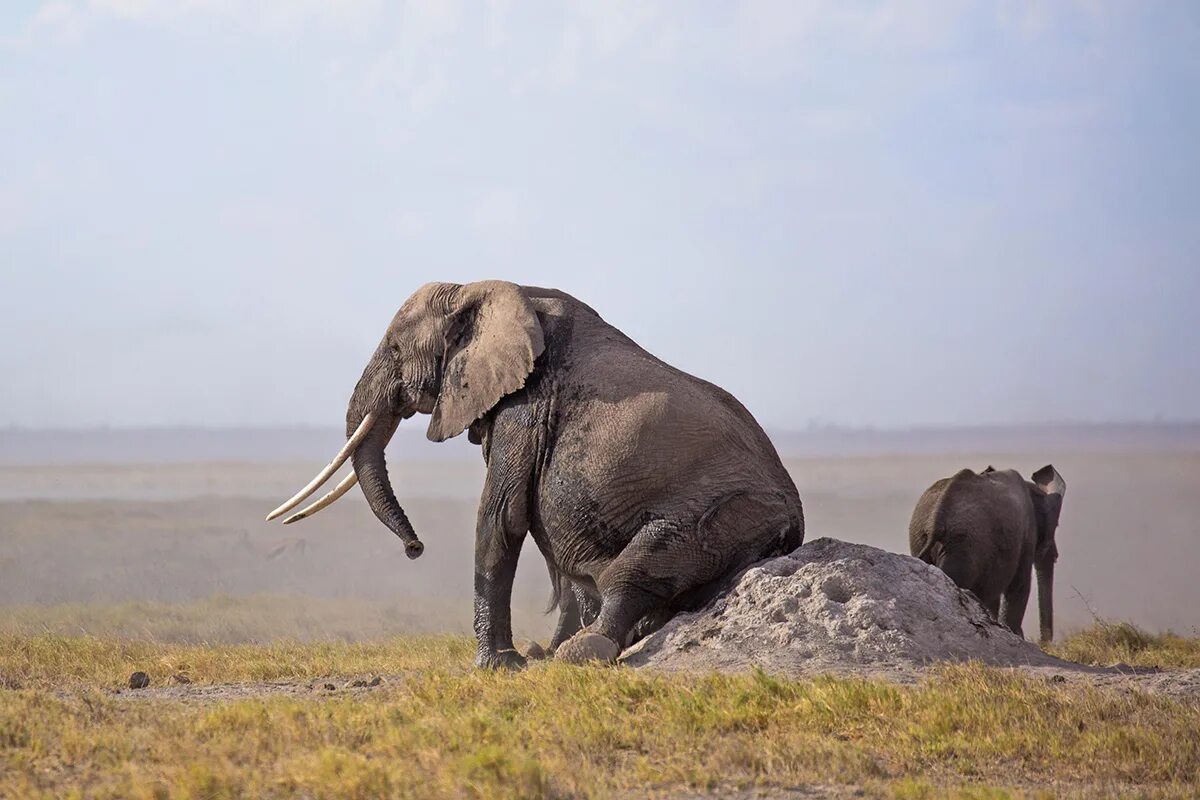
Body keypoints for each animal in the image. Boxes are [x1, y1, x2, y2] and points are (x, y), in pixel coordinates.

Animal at [267, 281, 801, 671]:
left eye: (396, 349)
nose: (414, 548)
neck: (482, 290)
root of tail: (795, 523)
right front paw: (526, 658)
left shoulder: (525, 407)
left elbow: (500, 519)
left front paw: (496, 666)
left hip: (729, 512)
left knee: (638, 566)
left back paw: (583, 651)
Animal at [907, 462, 1070, 642]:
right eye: (1056, 525)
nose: (1043, 642)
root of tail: (935, 520)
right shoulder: (1027, 535)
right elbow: (1019, 586)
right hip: (964, 546)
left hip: (922, 536)